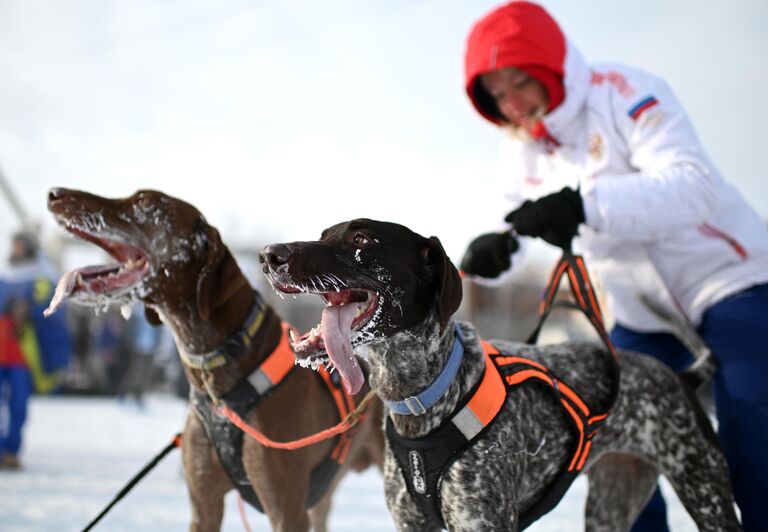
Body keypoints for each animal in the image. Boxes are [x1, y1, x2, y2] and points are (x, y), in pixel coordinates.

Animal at [260, 218, 740, 528]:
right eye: (324, 235)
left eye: (361, 238)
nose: (268, 255)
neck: (422, 396)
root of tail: (682, 376)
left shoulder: (483, 522)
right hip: (611, 504)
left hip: (708, 494)